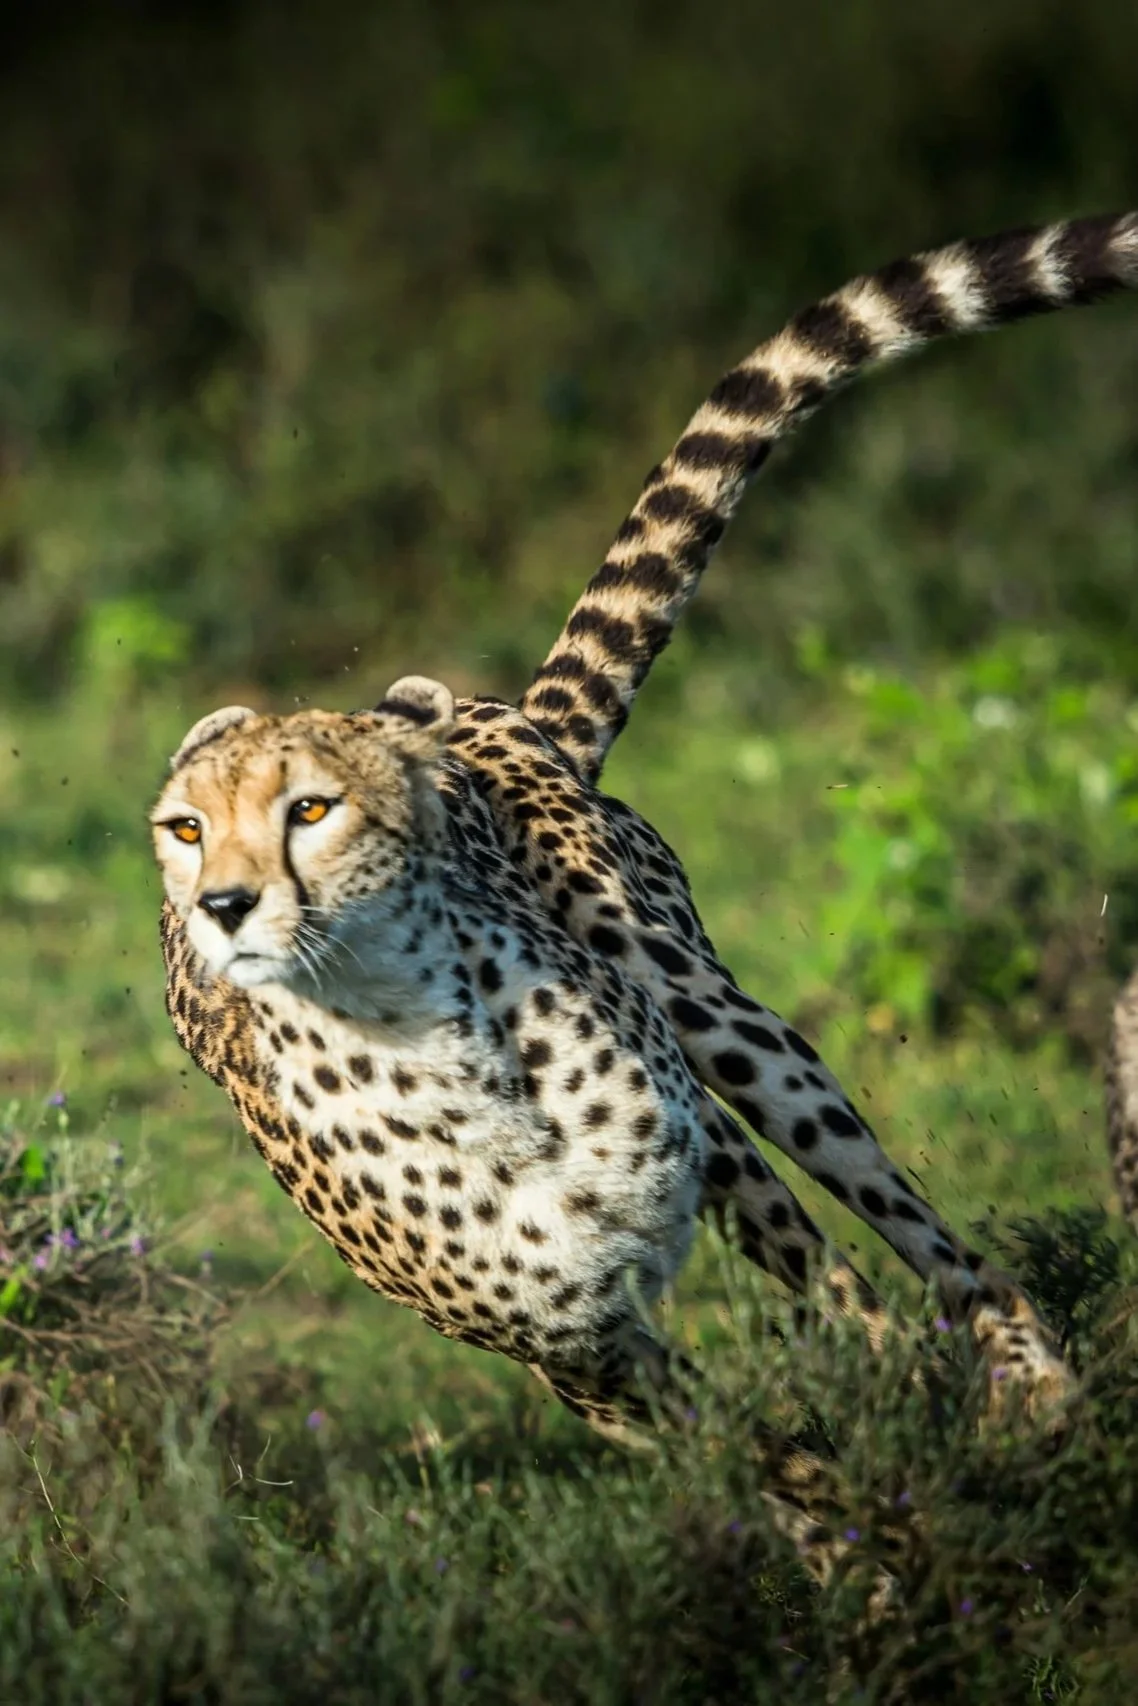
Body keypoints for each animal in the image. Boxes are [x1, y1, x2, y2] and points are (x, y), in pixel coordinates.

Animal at [153, 210, 1138, 1589]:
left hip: (712, 1013)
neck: (419, 1042)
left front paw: (922, 1482)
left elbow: (847, 1336)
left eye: (310, 808)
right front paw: (873, 1556)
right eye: (185, 828)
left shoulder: (695, 1169)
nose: (227, 907)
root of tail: (486, 709)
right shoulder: (579, 1355)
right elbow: (760, 1452)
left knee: (918, 1252)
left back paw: (1021, 1374)